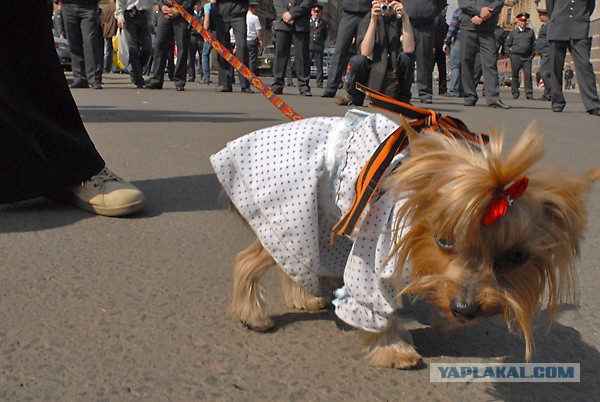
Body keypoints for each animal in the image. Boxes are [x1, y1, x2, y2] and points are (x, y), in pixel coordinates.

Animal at [211, 111, 596, 370]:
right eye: (444, 241)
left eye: (516, 257)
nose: (465, 309)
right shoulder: (374, 252)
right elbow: (372, 304)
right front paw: (394, 349)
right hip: (293, 207)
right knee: (250, 259)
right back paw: (253, 316)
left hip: (322, 219)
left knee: (295, 260)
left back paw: (304, 299)